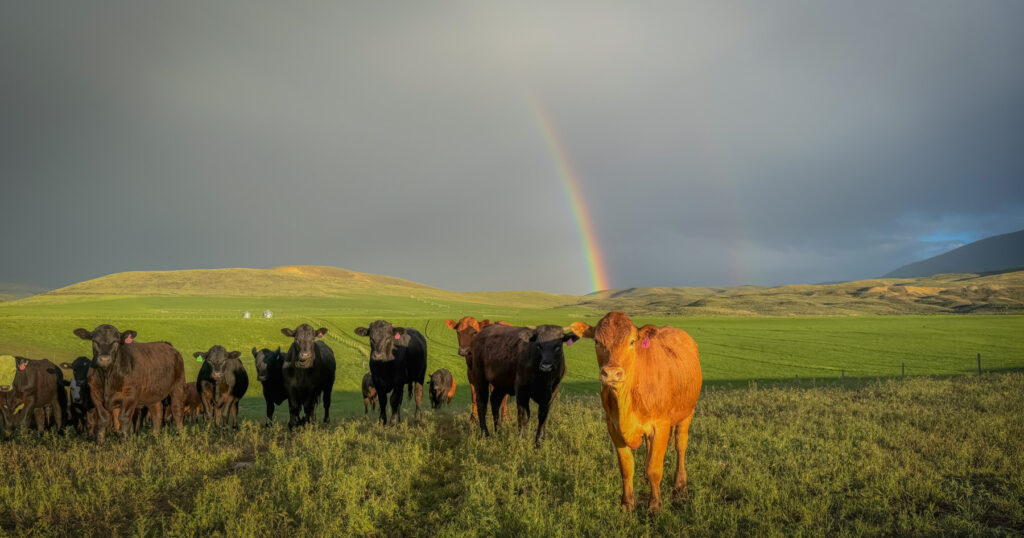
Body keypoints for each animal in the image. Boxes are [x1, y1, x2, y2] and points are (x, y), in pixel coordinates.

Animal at [570, 312, 702, 512]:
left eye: (632, 341)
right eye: (596, 341)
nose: (611, 373)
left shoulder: (661, 426)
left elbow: (655, 468)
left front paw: (655, 505)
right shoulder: (613, 427)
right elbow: (626, 467)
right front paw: (627, 504)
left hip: (687, 413)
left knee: (680, 446)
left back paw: (680, 484)